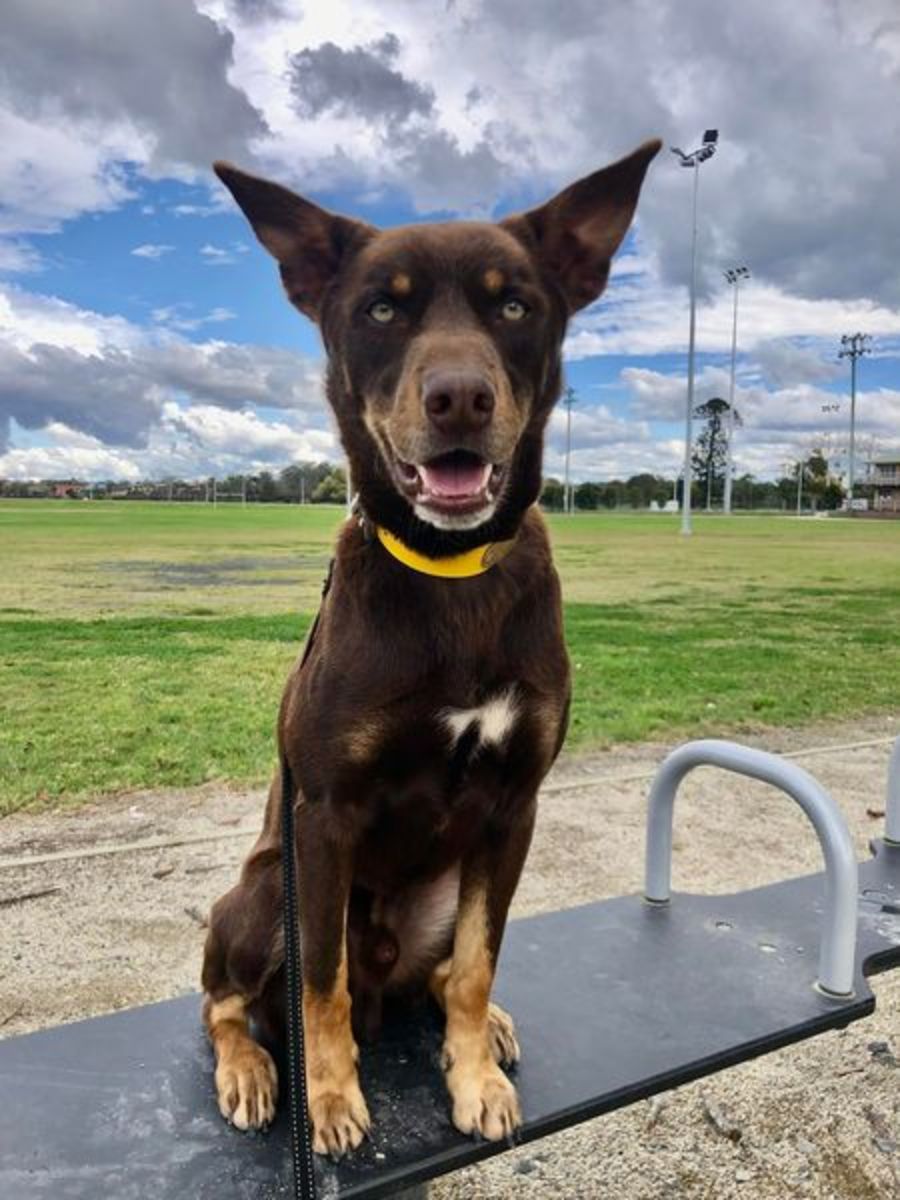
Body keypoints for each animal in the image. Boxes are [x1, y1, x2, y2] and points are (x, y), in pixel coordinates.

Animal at [201, 138, 661, 1156]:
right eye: (382, 309)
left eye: (514, 305)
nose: (459, 397)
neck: (450, 571)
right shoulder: (323, 818)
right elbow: (319, 987)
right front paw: (330, 1098)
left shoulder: (515, 806)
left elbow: (482, 960)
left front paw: (474, 1073)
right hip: (265, 888)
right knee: (229, 999)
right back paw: (251, 1067)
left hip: (449, 885)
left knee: (444, 975)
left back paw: (480, 1028)